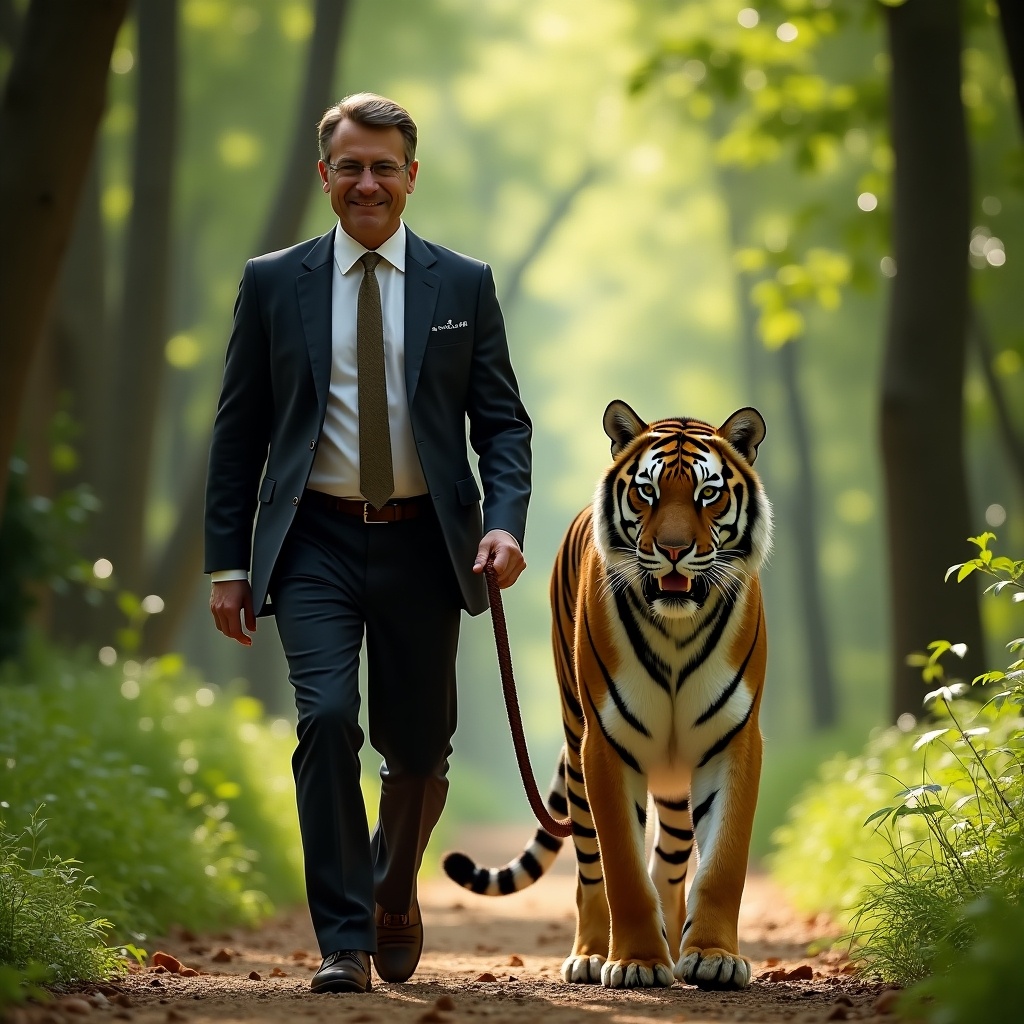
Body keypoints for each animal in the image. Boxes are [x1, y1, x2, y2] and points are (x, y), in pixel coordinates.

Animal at [444, 401, 770, 991]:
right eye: (647, 491)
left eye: (708, 494)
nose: (673, 550)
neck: (676, 630)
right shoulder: (606, 744)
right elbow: (620, 866)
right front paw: (637, 961)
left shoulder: (734, 740)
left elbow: (722, 863)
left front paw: (713, 957)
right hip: (577, 747)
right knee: (589, 867)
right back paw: (594, 953)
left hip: (673, 777)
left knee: (672, 859)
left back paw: (675, 942)